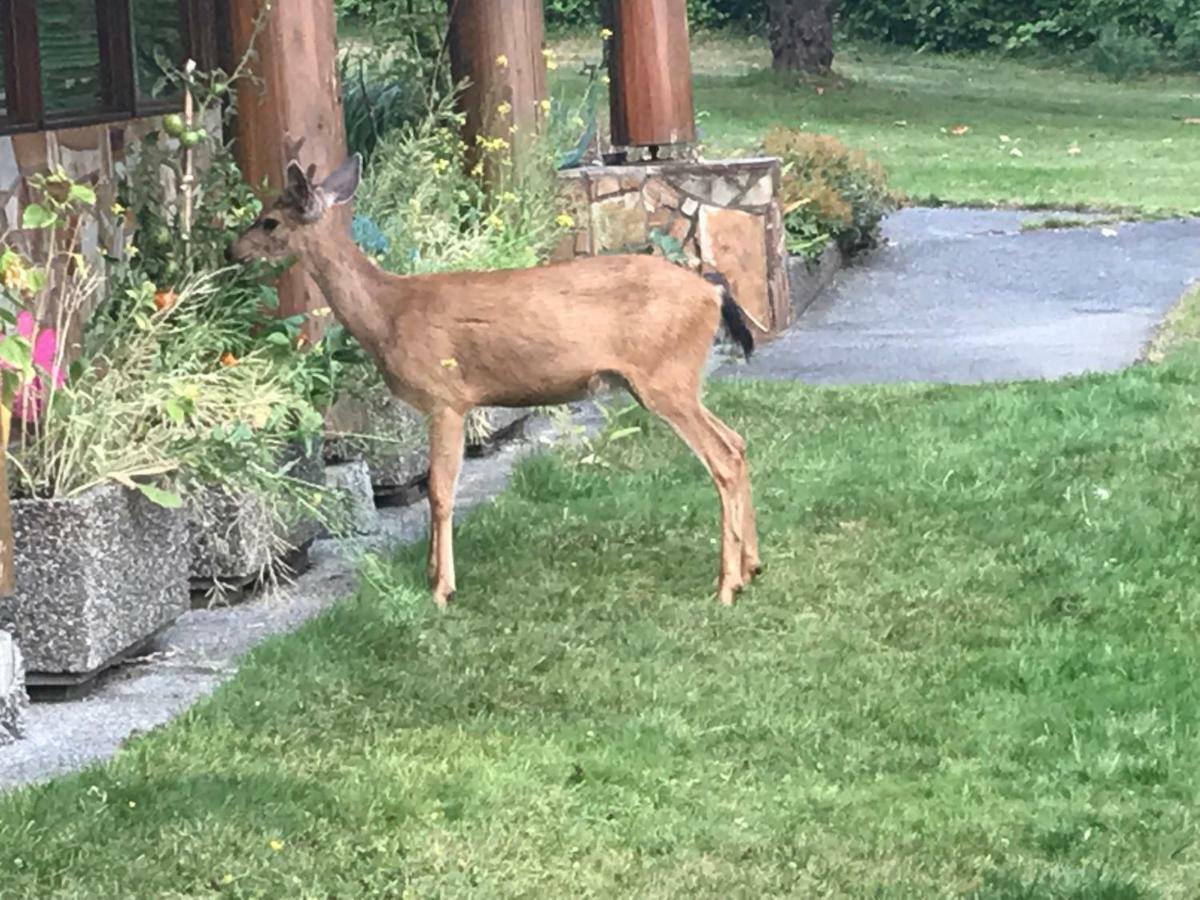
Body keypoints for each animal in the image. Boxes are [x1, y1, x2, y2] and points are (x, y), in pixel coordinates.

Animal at [226, 151, 758, 609]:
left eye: (269, 220)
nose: (235, 252)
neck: (388, 313)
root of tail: (711, 292)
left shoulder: (445, 398)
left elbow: (440, 491)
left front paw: (441, 588)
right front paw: (430, 573)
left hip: (664, 377)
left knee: (723, 457)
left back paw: (726, 585)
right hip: (676, 380)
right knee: (737, 441)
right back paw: (752, 566)